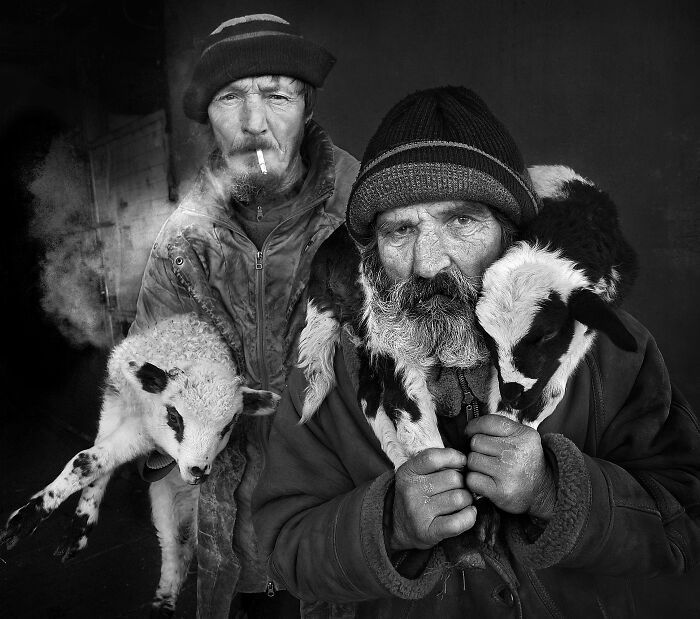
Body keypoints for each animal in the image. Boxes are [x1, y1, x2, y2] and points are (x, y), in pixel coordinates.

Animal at [0, 312, 278, 616]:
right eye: (174, 417)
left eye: (229, 426)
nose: (198, 471)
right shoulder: (116, 405)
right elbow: (90, 463)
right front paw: (63, 528)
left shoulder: (147, 432)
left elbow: (94, 461)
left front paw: (32, 522)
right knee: (175, 545)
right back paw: (162, 604)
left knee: (181, 549)